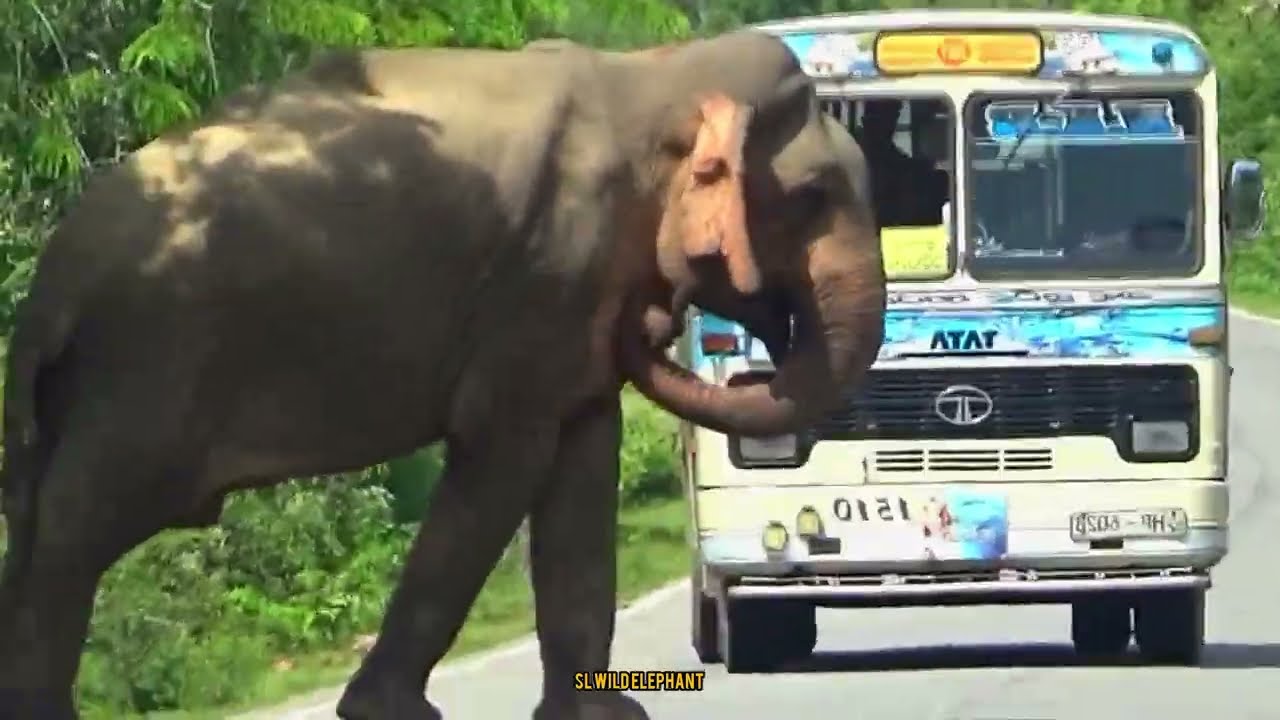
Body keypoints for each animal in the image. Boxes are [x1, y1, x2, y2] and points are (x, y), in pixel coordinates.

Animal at [0, 30, 886, 720]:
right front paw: (386, 710)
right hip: (151, 365)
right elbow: (505, 460)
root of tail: (56, 275)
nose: (651, 321)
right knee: (78, 522)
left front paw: (603, 714)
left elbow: (583, 461)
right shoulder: (547, 277)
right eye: (812, 198)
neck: (652, 75)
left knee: (45, 519)